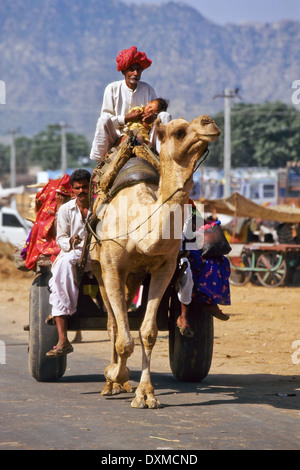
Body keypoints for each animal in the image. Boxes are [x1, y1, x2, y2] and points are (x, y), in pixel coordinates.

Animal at [90, 114, 219, 408]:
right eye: (179, 131)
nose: (209, 122)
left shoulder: (164, 268)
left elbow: (147, 332)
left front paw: (145, 394)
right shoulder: (112, 268)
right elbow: (122, 336)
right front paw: (114, 374)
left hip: (135, 276)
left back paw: (122, 382)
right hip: (98, 268)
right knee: (113, 323)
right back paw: (110, 383)